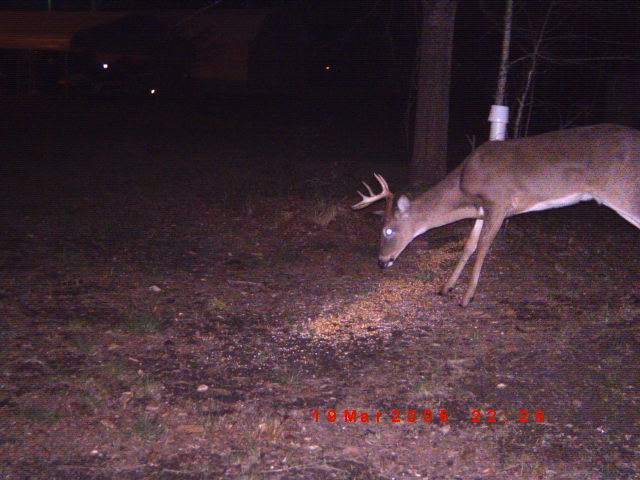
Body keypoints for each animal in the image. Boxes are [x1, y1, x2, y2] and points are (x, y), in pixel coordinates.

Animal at [352, 124, 640, 306]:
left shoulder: (499, 202)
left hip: (626, 192)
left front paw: (466, 298)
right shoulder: (482, 211)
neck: (463, 190)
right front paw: (446, 287)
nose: (382, 261)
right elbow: (468, 246)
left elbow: (482, 248)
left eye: (387, 230)